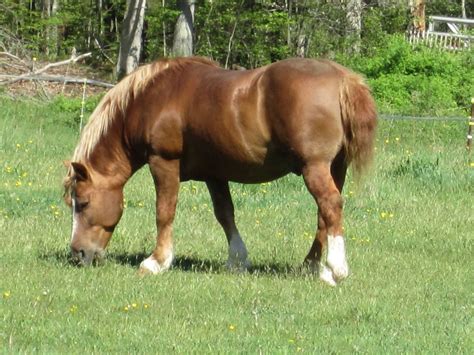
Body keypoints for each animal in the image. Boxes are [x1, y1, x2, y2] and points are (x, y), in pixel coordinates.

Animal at [63, 57, 376, 286]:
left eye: (83, 203)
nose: (78, 254)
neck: (154, 98)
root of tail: (342, 79)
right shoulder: (215, 174)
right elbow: (225, 214)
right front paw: (237, 260)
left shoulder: (163, 162)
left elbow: (164, 212)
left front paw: (156, 261)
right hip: (335, 168)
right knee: (324, 214)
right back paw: (313, 267)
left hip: (315, 167)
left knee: (330, 205)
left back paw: (335, 268)